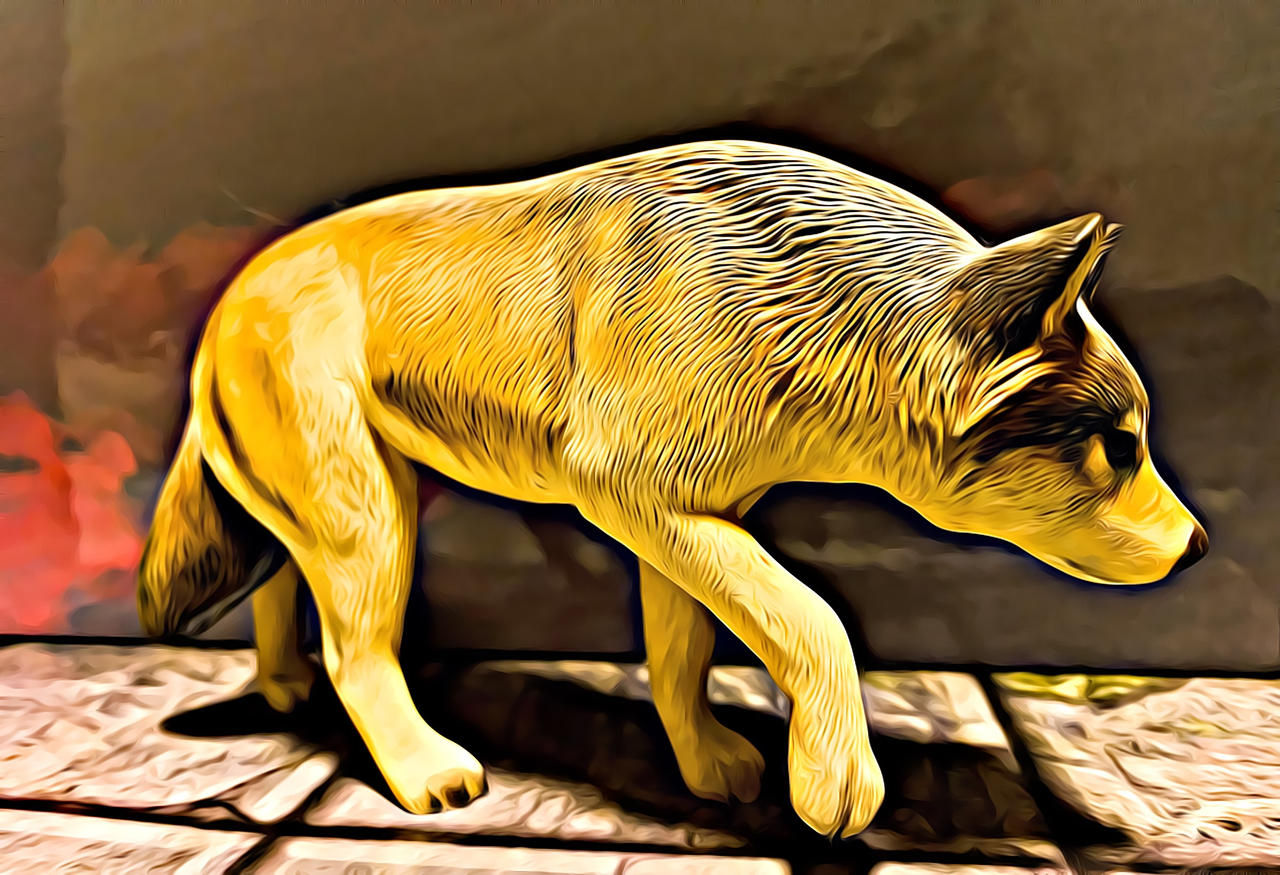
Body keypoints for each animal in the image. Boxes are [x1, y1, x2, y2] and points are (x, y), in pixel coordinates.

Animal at [137, 140, 1207, 837]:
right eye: (1119, 446)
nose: (1199, 546)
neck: (823, 311)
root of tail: (233, 289)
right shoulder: (643, 503)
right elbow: (816, 620)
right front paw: (835, 780)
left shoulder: (692, 519)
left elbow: (683, 656)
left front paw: (705, 765)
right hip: (368, 514)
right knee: (357, 650)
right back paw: (424, 769)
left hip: (341, 499)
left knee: (285, 578)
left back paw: (284, 688)